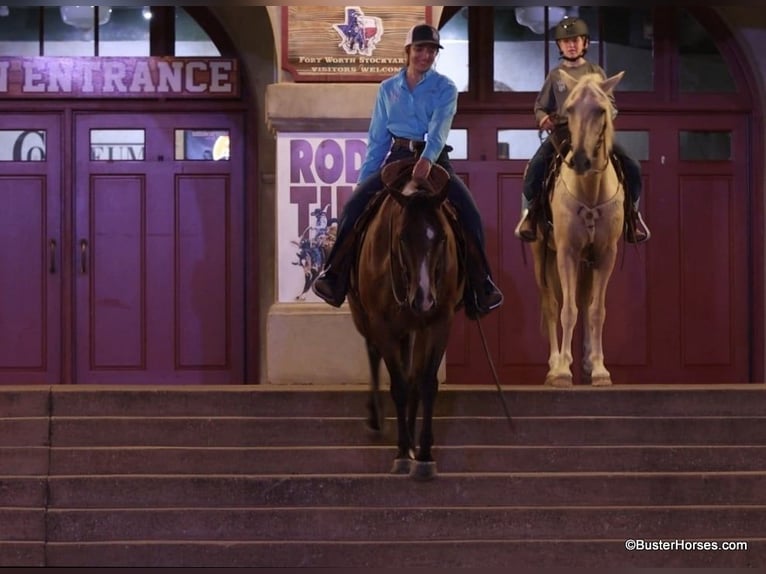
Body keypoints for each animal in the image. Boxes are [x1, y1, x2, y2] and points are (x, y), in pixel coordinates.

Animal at [350, 159, 468, 482]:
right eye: (402, 237)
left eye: (441, 237)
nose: (423, 299)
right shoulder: (382, 325)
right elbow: (400, 386)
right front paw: (402, 453)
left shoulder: (439, 323)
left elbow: (424, 382)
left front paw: (423, 454)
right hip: (365, 319)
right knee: (373, 354)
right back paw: (375, 417)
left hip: (413, 329)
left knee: (412, 372)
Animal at [532, 70, 628, 390]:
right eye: (570, 109)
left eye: (601, 110)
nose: (582, 160)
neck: (589, 192)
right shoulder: (567, 253)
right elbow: (567, 310)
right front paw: (562, 371)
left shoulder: (605, 255)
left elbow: (596, 311)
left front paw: (598, 369)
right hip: (541, 255)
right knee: (551, 304)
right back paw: (554, 364)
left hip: (587, 262)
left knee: (585, 304)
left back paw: (584, 362)